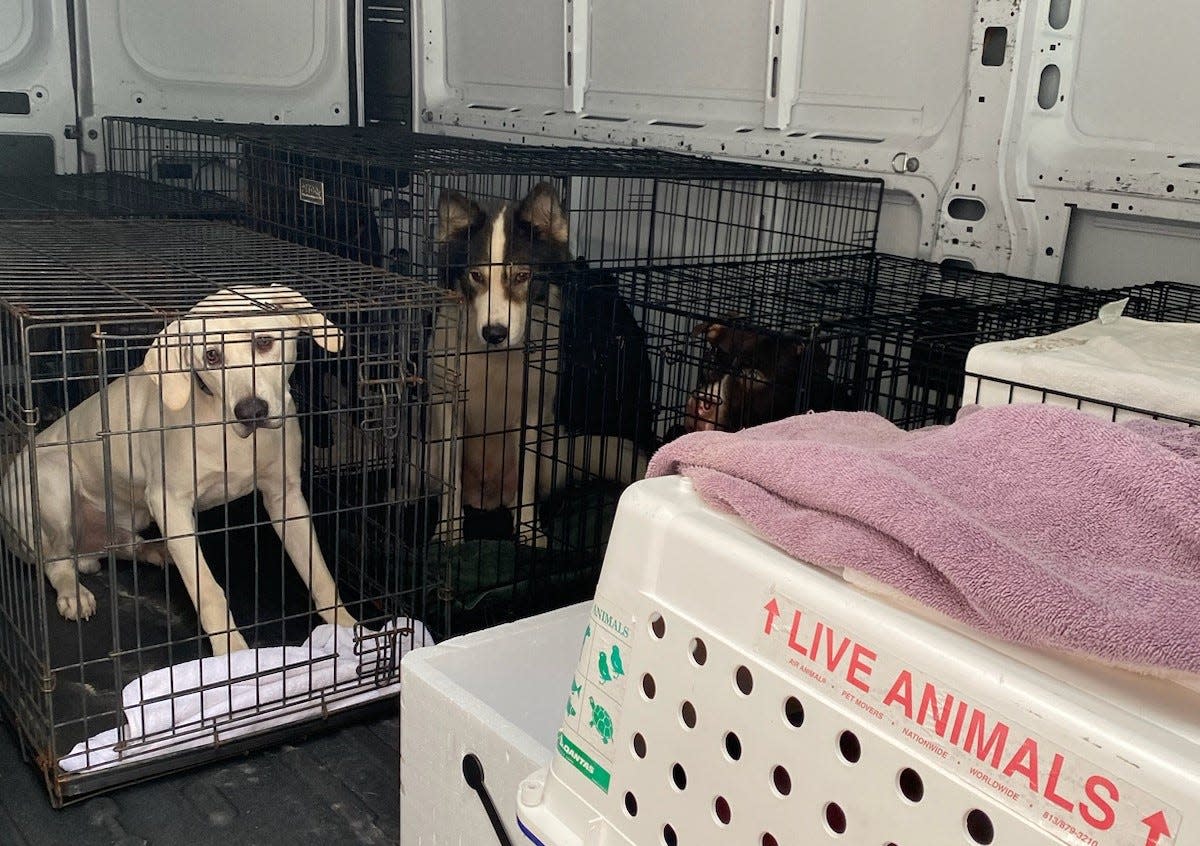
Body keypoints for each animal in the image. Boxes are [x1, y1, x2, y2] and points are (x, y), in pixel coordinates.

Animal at [0, 283, 355, 652]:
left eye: (264, 342)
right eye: (212, 356)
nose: (251, 411)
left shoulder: (285, 496)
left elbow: (320, 575)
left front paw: (348, 630)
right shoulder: (169, 502)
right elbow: (209, 592)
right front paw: (232, 655)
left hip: (133, 516)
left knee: (125, 545)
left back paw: (157, 551)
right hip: (54, 480)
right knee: (57, 561)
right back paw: (74, 594)